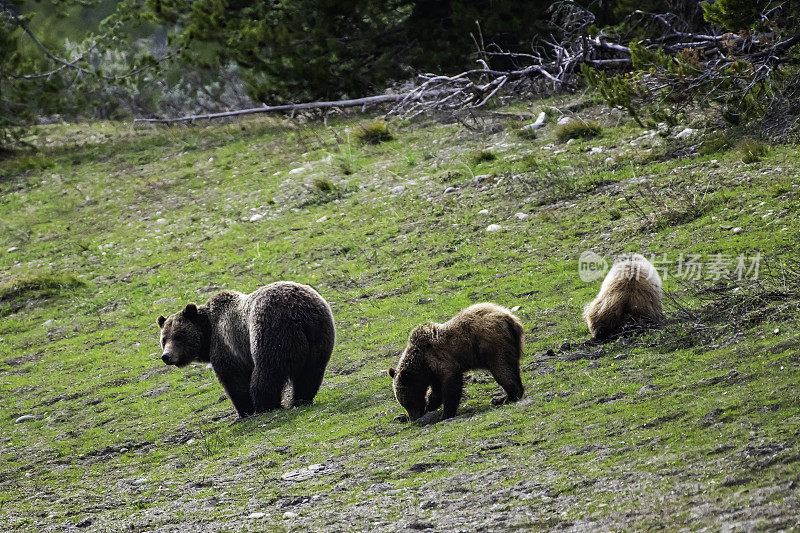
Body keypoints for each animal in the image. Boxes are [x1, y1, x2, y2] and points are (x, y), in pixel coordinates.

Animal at [156, 280, 334, 418]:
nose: (167, 356)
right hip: (319, 336)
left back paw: (265, 405)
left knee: (268, 371)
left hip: (271, 331)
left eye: (179, 336)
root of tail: (300, 312)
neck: (208, 333)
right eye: (164, 339)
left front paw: (244, 410)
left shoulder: (226, 345)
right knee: (310, 372)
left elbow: (234, 379)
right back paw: (301, 399)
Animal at [388, 302, 524, 422]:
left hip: (492, 343)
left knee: (502, 369)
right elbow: (436, 393)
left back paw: (507, 397)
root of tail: (510, 318)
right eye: (404, 403)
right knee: (511, 367)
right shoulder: (433, 372)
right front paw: (403, 416)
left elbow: (451, 385)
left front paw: (444, 414)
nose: (413, 417)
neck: (422, 362)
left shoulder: (441, 361)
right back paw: (502, 397)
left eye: (408, 401)